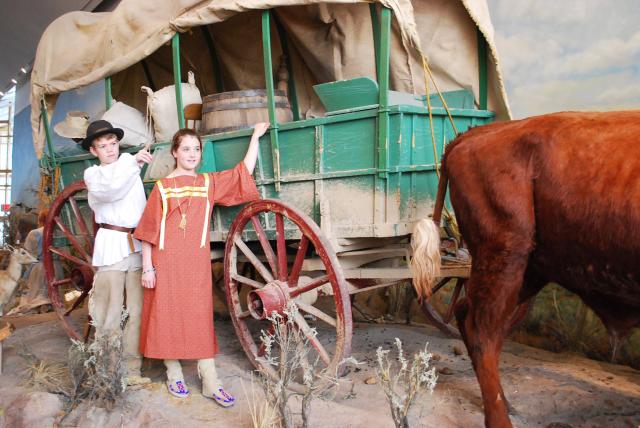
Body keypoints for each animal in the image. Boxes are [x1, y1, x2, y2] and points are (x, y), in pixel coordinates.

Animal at [410, 111, 640, 428]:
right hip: (508, 255)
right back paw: (500, 418)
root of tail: (469, 136)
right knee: (482, 330)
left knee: (472, 316)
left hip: (526, 270)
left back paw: (506, 404)